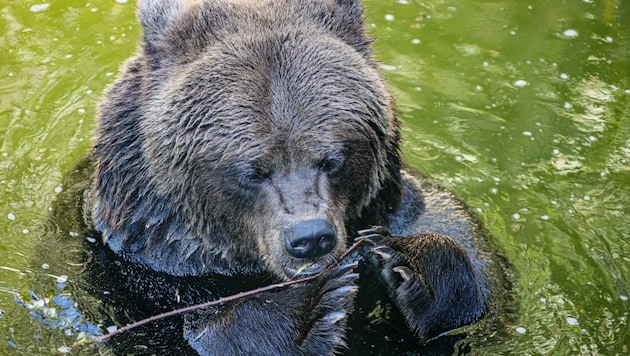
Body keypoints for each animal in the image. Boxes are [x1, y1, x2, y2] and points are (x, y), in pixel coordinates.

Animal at [86, 0, 512, 354]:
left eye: (331, 159)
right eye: (254, 170)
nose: (310, 238)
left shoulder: (431, 214)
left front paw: (402, 260)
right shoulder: (140, 273)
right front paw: (319, 297)